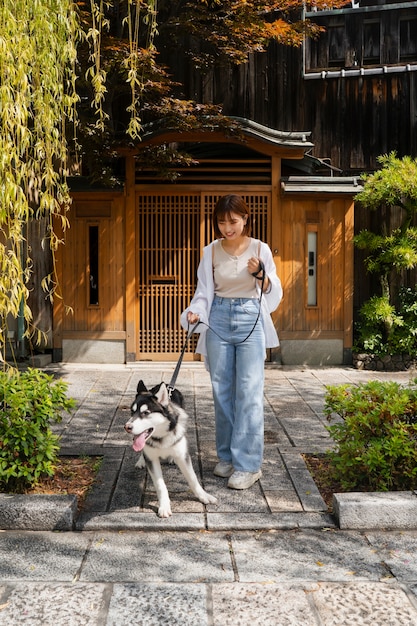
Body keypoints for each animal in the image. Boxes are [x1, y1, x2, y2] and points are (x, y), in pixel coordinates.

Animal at [124, 380, 218, 516]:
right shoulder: (152, 459)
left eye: (146, 413)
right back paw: (141, 460)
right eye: (132, 412)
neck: (161, 436)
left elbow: (193, 478)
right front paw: (164, 506)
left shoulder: (183, 456)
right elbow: (160, 485)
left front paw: (204, 496)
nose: (127, 427)